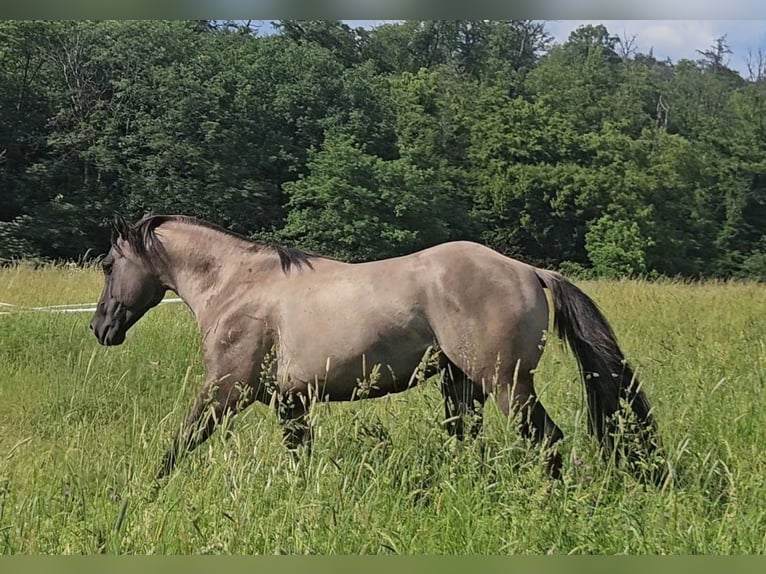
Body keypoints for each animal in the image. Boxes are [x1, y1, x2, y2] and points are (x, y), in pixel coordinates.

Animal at [89, 214, 659, 480]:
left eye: (108, 264)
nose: (101, 327)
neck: (237, 285)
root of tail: (529, 271)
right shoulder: (291, 402)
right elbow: (299, 458)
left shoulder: (225, 390)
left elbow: (179, 445)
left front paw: (145, 490)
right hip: (462, 386)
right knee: (470, 441)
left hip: (507, 384)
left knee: (548, 441)